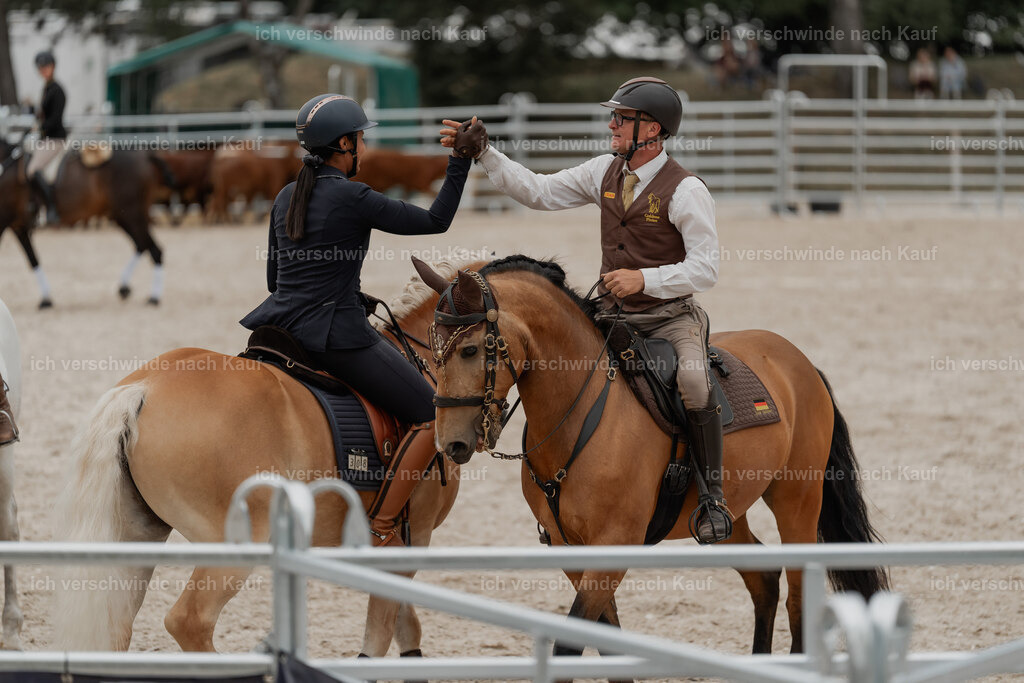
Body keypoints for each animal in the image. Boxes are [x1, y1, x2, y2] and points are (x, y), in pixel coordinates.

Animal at [53, 260, 481, 657]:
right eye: (472, 350)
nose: (462, 440)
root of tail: (145, 388)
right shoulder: (415, 534)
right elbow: (383, 631)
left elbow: (405, 627)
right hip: (236, 542)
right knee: (189, 621)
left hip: (137, 534)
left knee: (116, 628)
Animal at [416, 255, 889, 659]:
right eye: (433, 351)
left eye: (470, 350)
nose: (450, 444)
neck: (583, 413)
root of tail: (799, 361)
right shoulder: (572, 551)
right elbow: (608, 645)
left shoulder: (612, 547)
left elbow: (571, 645)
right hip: (729, 515)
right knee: (764, 581)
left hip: (797, 502)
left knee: (798, 599)